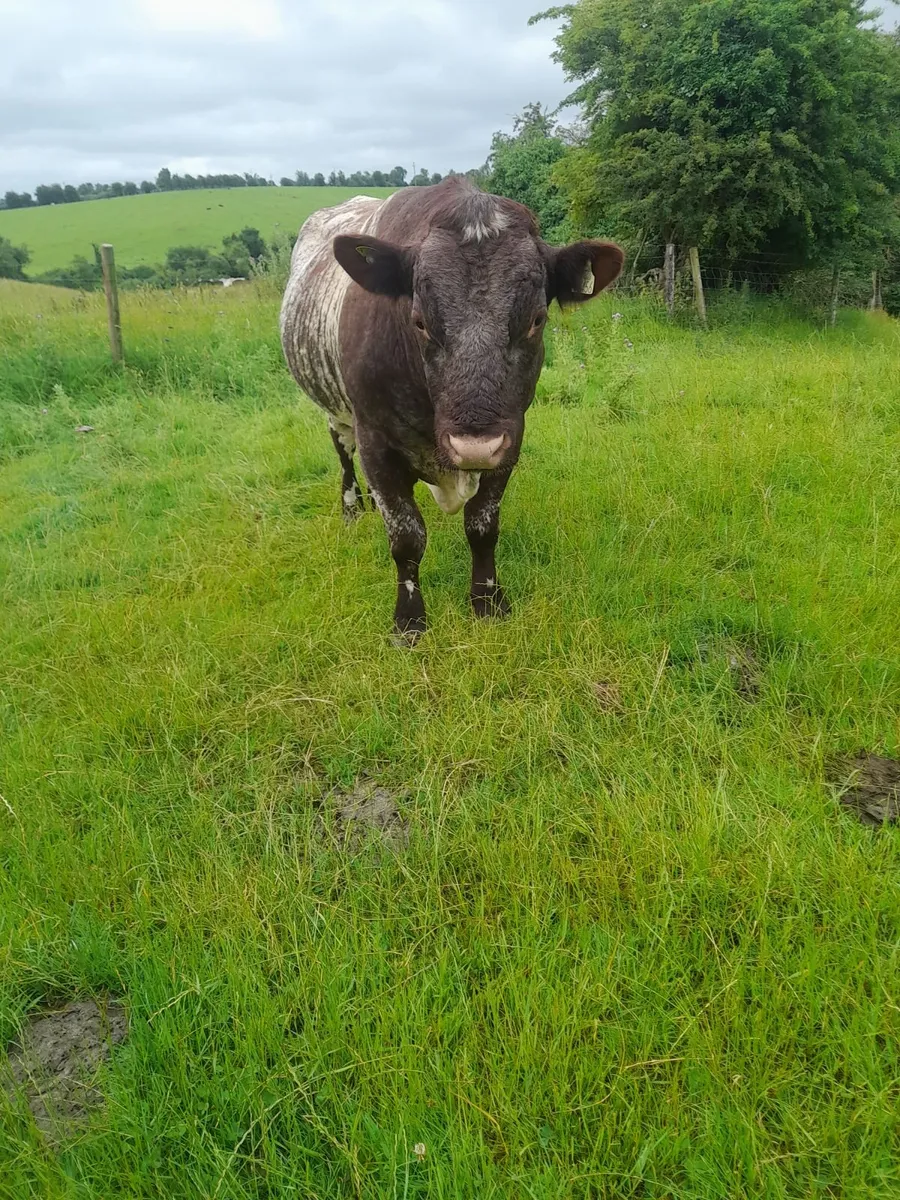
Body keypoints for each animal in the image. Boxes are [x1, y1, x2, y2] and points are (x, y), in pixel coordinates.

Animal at [280, 177, 624, 642]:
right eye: (419, 321)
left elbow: (482, 527)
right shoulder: (377, 443)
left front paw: (488, 602)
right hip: (337, 414)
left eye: (536, 320)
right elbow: (406, 538)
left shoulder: (508, 445)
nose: (473, 445)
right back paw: (353, 510)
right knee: (344, 457)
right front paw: (409, 620)